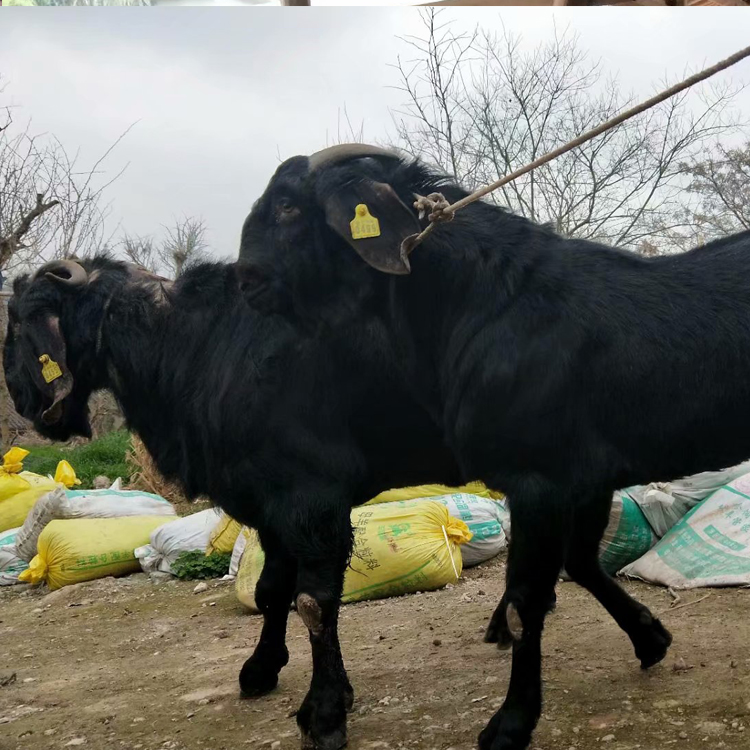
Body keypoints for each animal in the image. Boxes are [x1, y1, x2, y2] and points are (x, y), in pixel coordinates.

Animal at [2, 258, 464, 750]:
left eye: (17, 323)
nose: (18, 397)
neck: (200, 343)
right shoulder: (270, 507)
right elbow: (271, 591)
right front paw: (264, 671)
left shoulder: (313, 500)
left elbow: (314, 603)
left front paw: (324, 716)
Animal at [238, 145, 750, 750]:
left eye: (288, 205)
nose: (244, 278)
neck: (486, 305)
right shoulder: (585, 479)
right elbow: (579, 564)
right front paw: (651, 639)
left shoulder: (539, 478)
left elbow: (527, 602)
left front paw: (509, 724)